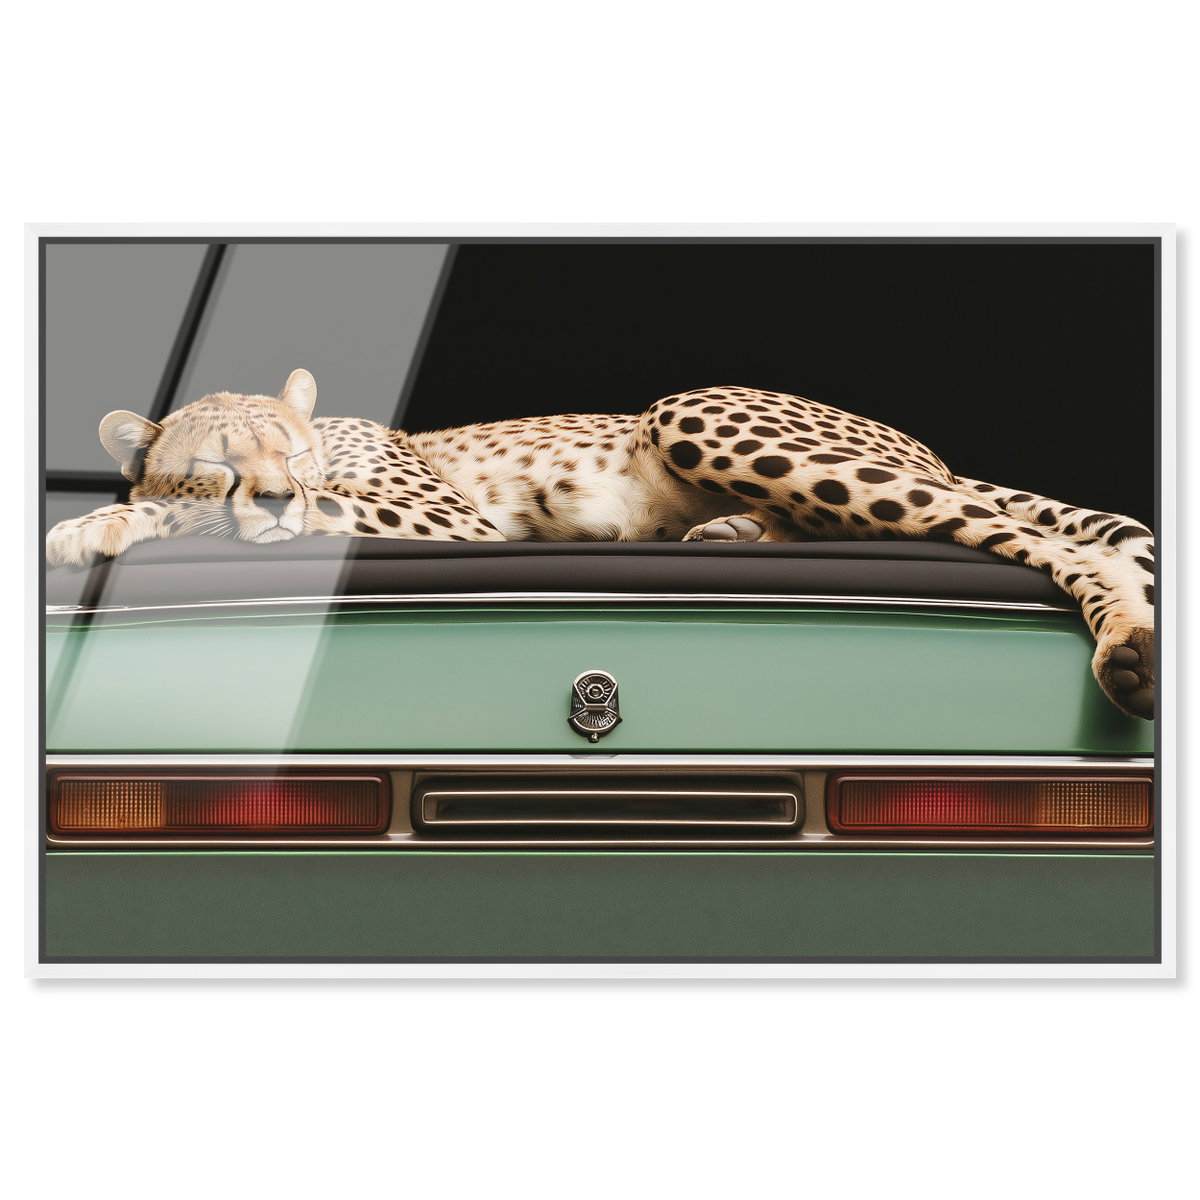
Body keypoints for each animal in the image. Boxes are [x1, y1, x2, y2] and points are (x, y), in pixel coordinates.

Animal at [46, 368, 1156, 719]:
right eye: (215, 459)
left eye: (294, 450)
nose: (275, 497)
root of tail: (934, 449)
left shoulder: (451, 524)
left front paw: (90, 525)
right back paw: (727, 529)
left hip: (695, 411)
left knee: (1027, 534)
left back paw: (1130, 651)